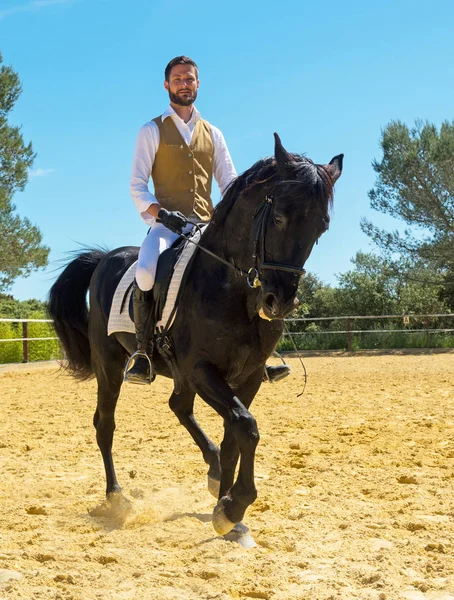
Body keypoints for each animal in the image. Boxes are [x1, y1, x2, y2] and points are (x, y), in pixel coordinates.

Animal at [48, 136, 340, 536]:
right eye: (279, 217)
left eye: (321, 227)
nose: (279, 301)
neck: (234, 288)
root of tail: (105, 258)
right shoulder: (202, 369)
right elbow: (246, 426)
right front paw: (235, 505)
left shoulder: (248, 376)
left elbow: (235, 435)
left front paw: (226, 506)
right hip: (111, 366)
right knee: (105, 424)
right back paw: (117, 498)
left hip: (179, 374)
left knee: (179, 407)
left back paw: (213, 471)